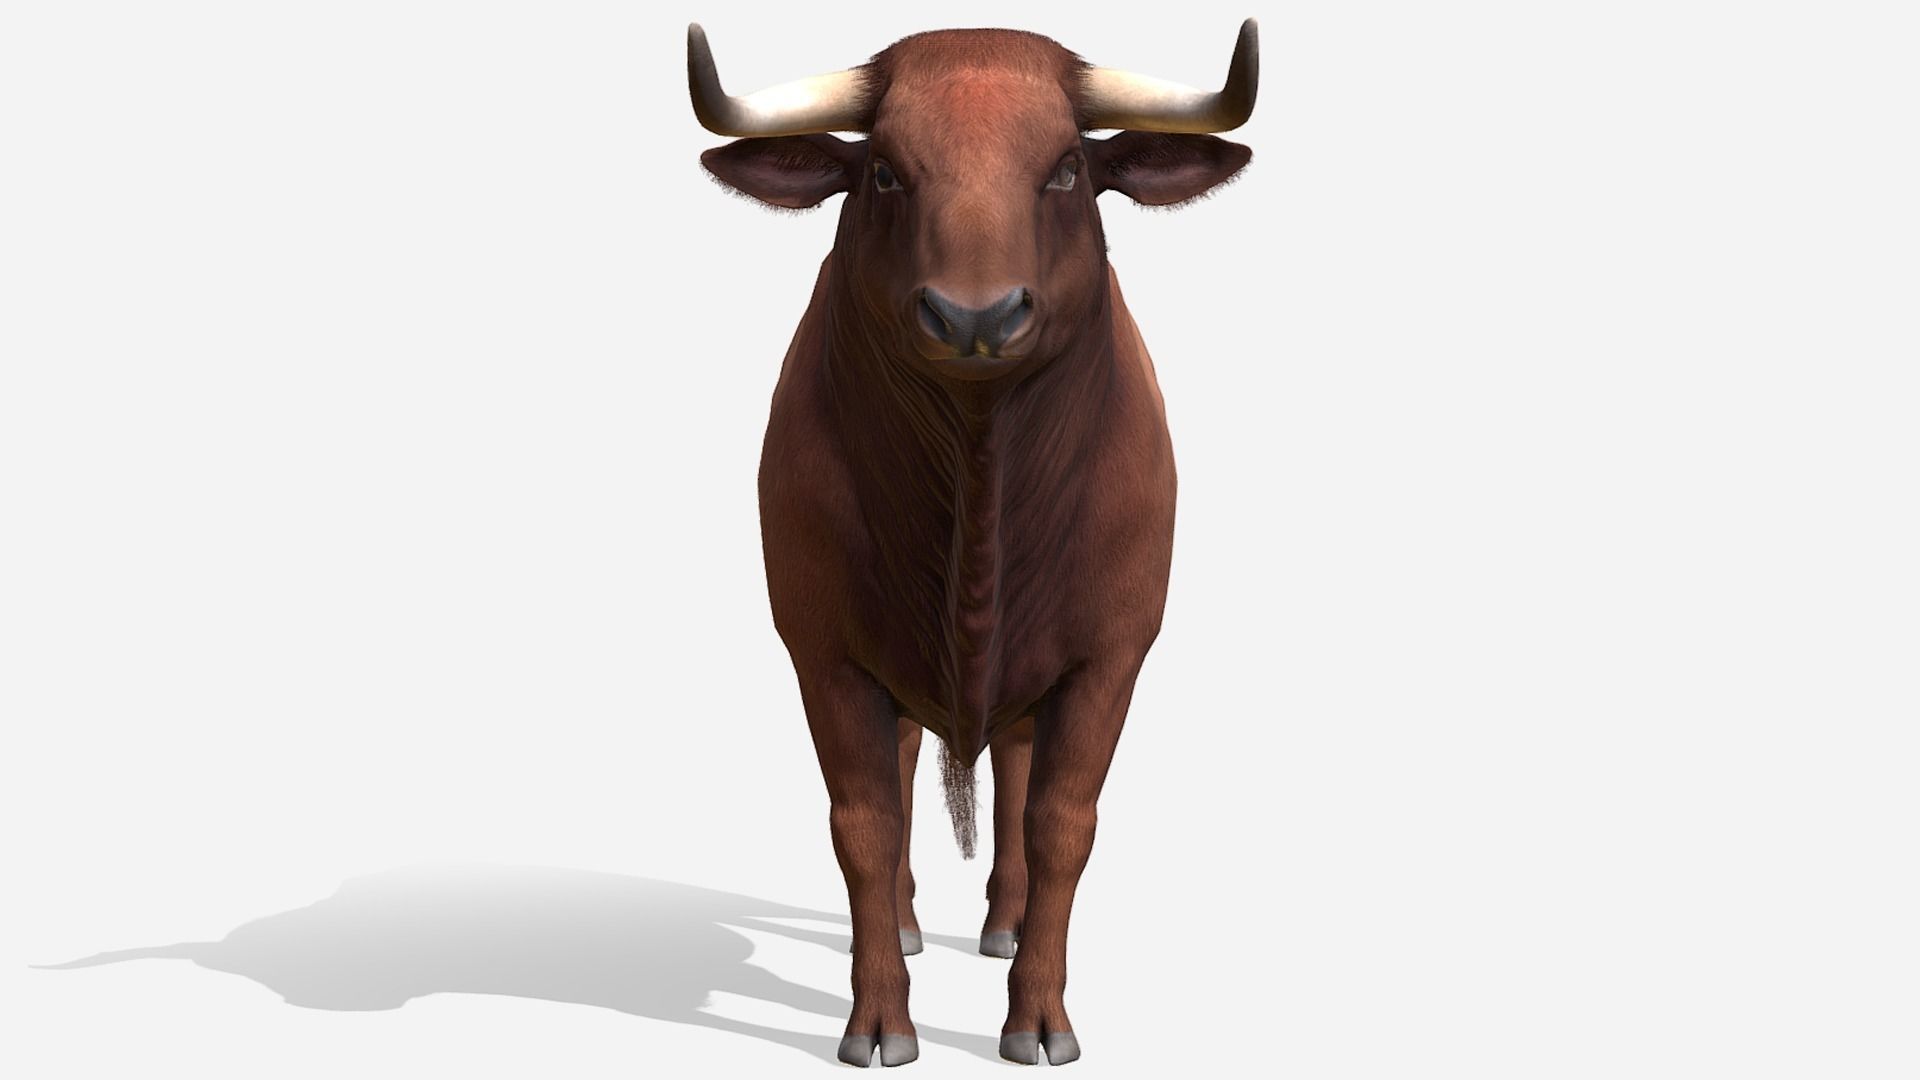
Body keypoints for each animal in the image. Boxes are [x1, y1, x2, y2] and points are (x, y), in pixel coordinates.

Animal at [687, 19, 1258, 1067]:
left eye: (1067, 167)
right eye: (883, 171)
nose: (976, 317)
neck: (980, 465)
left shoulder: (1112, 655)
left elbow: (1062, 822)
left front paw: (1039, 1019)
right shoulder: (823, 653)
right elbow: (865, 823)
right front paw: (878, 1022)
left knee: (1020, 778)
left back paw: (1005, 924)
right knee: (912, 769)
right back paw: (916, 921)